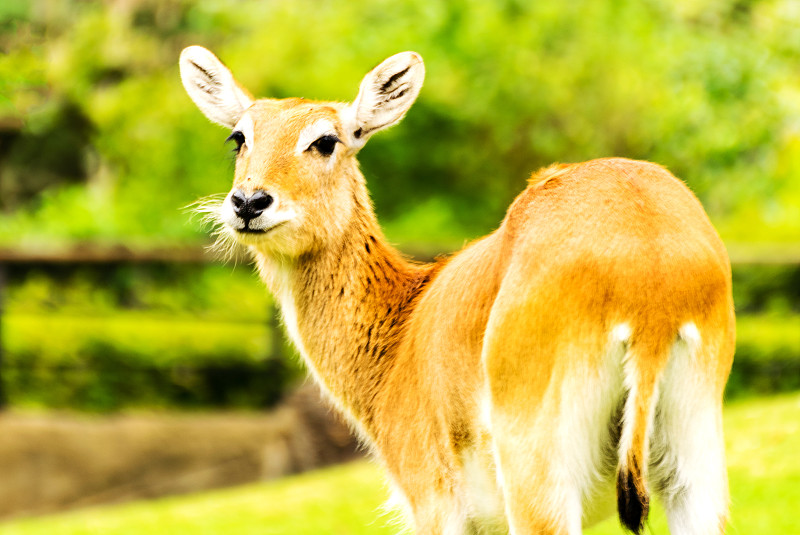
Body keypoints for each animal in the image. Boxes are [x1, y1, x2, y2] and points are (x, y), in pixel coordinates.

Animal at [180, 47, 732, 535]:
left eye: (326, 140)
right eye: (238, 137)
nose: (249, 202)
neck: (398, 336)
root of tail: (652, 290)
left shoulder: (433, 500)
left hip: (537, 472)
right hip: (693, 472)